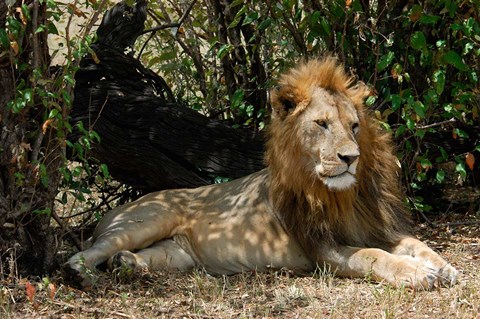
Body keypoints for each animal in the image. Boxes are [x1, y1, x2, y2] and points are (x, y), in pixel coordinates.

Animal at [63, 57, 458, 290]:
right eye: (322, 124)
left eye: (355, 126)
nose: (350, 157)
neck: (342, 196)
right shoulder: (323, 249)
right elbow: (372, 256)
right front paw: (416, 273)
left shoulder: (378, 227)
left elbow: (416, 244)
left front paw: (443, 267)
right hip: (146, 220)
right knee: (88, 250)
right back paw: (81, 272)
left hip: (177, 254)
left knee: (140, 257)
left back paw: (126, 264)